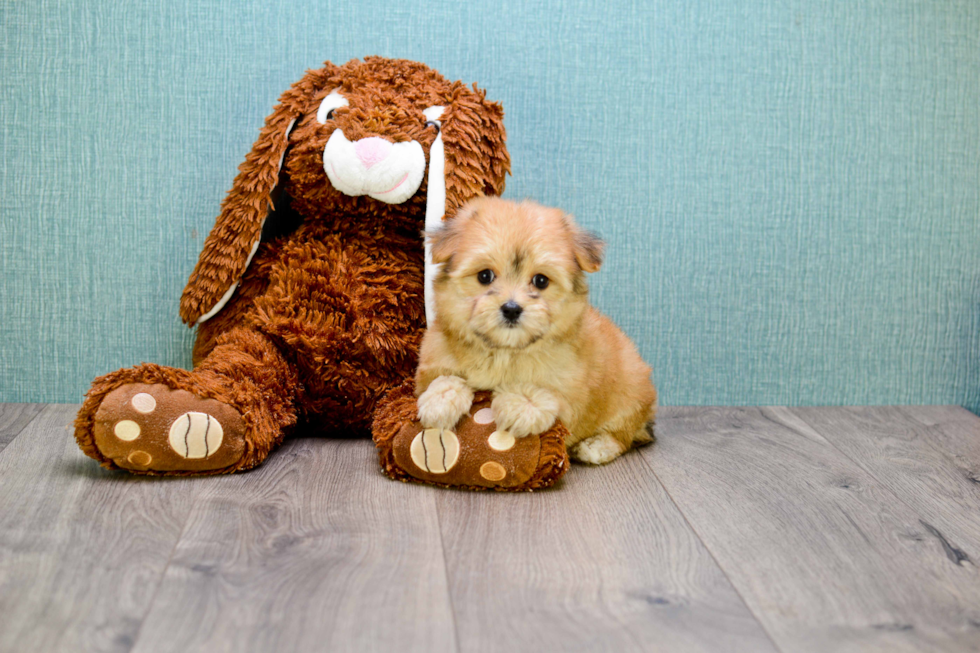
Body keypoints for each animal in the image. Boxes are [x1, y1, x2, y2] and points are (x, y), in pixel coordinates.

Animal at [416, 195, 660, 464]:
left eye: (540, 280)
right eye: (485, 276)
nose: (511, 308)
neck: (504, 352)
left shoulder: (571, 390)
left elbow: (548, 393)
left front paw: (520, 405)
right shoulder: (431, 362)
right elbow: (444, 378)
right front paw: (440, 400)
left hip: (630, 392)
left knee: (625, 434)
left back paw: (597, 445)